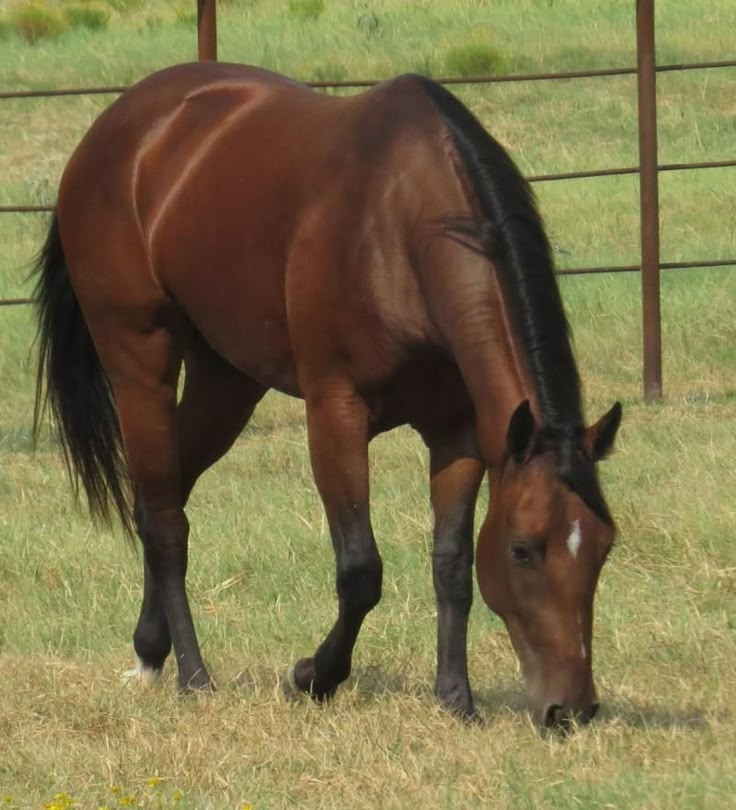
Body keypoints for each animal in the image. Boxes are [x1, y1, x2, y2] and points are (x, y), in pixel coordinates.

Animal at [33, 63, 620, 728]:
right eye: (523, 550)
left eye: (603, 547)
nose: (571, 710)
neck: (399, 228)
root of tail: (114, 130)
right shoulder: (336, 413)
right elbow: (361, 570)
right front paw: (313, 676)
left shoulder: (458, 430)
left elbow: (452, 563)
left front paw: (456, 698)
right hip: (140, 363)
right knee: (164, 521)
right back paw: (194, 676)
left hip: (227, 381)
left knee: (164, 493)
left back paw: (149, 652)